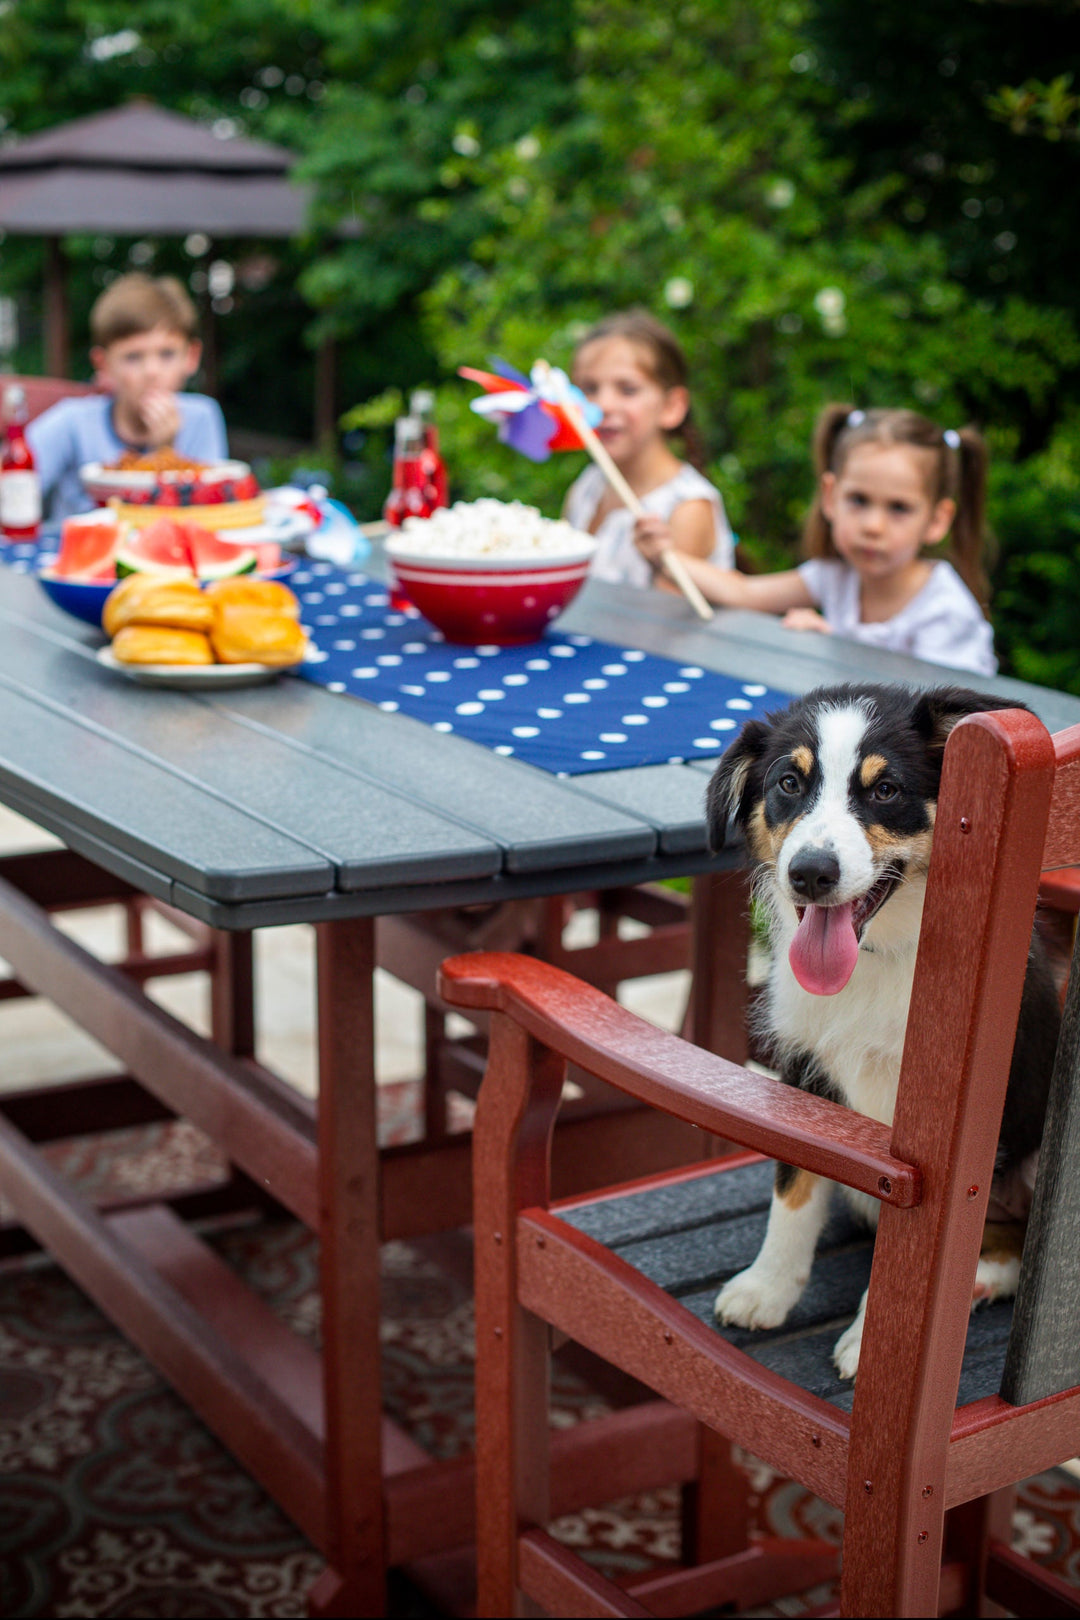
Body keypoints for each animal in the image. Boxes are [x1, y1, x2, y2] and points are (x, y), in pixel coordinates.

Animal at [709, 683, 1055, 1380]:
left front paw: (874, 1345)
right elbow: (793, 1189)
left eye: (887, 790)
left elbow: (915, 1261)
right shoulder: (805, 1066)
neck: (880, 959)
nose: (810, 873)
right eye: (789, 782)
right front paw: (767, 1288)